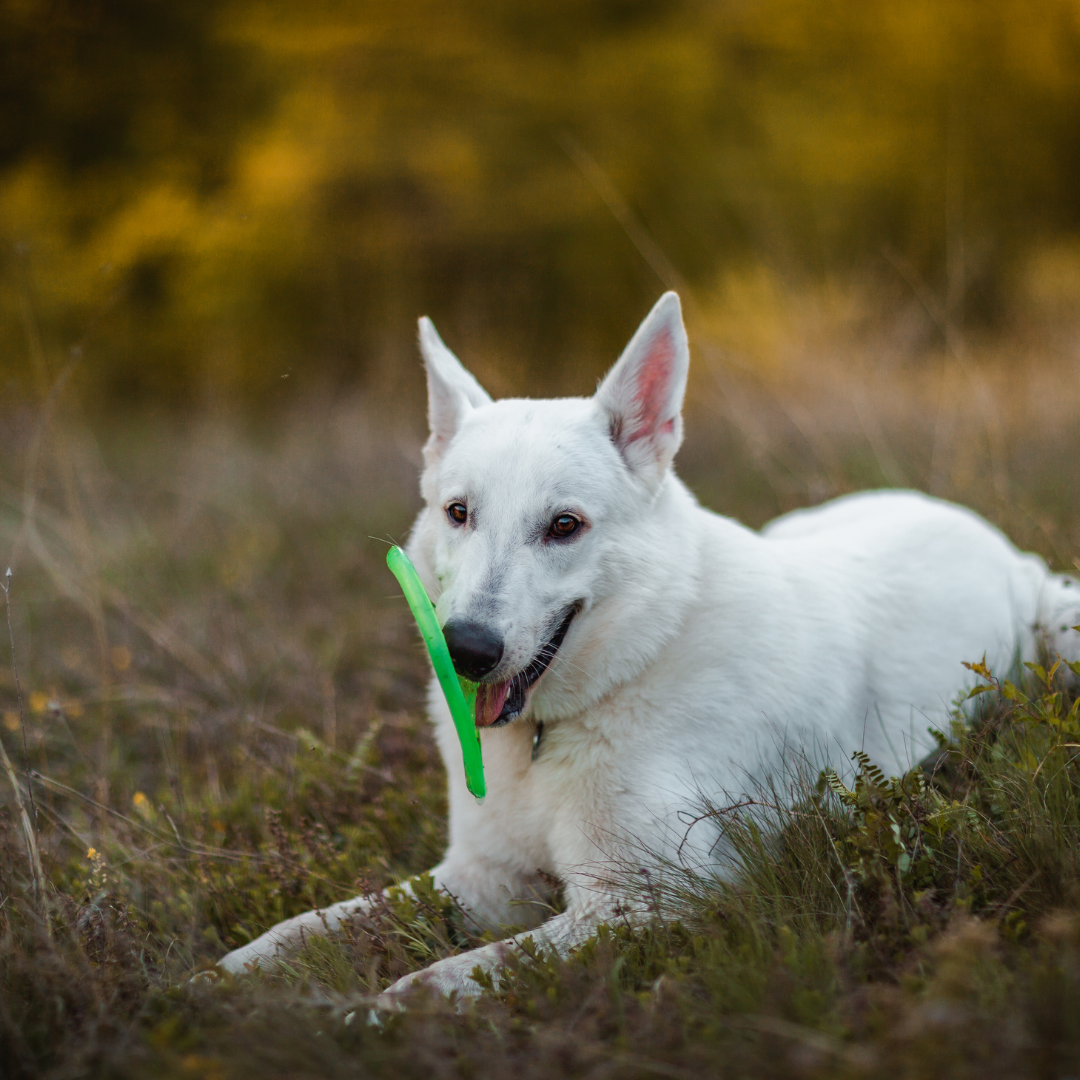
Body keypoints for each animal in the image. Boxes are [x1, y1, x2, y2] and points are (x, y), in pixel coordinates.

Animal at [217, 291, 1071, 997]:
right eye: (458, 513)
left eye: (564, 525)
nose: (465, 650)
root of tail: (988, 537)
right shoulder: (481, 877)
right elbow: (305, 928)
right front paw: (215, 987)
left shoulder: (643, 899)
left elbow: (432, 981)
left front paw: (362, 1019)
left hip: (1065, 627)